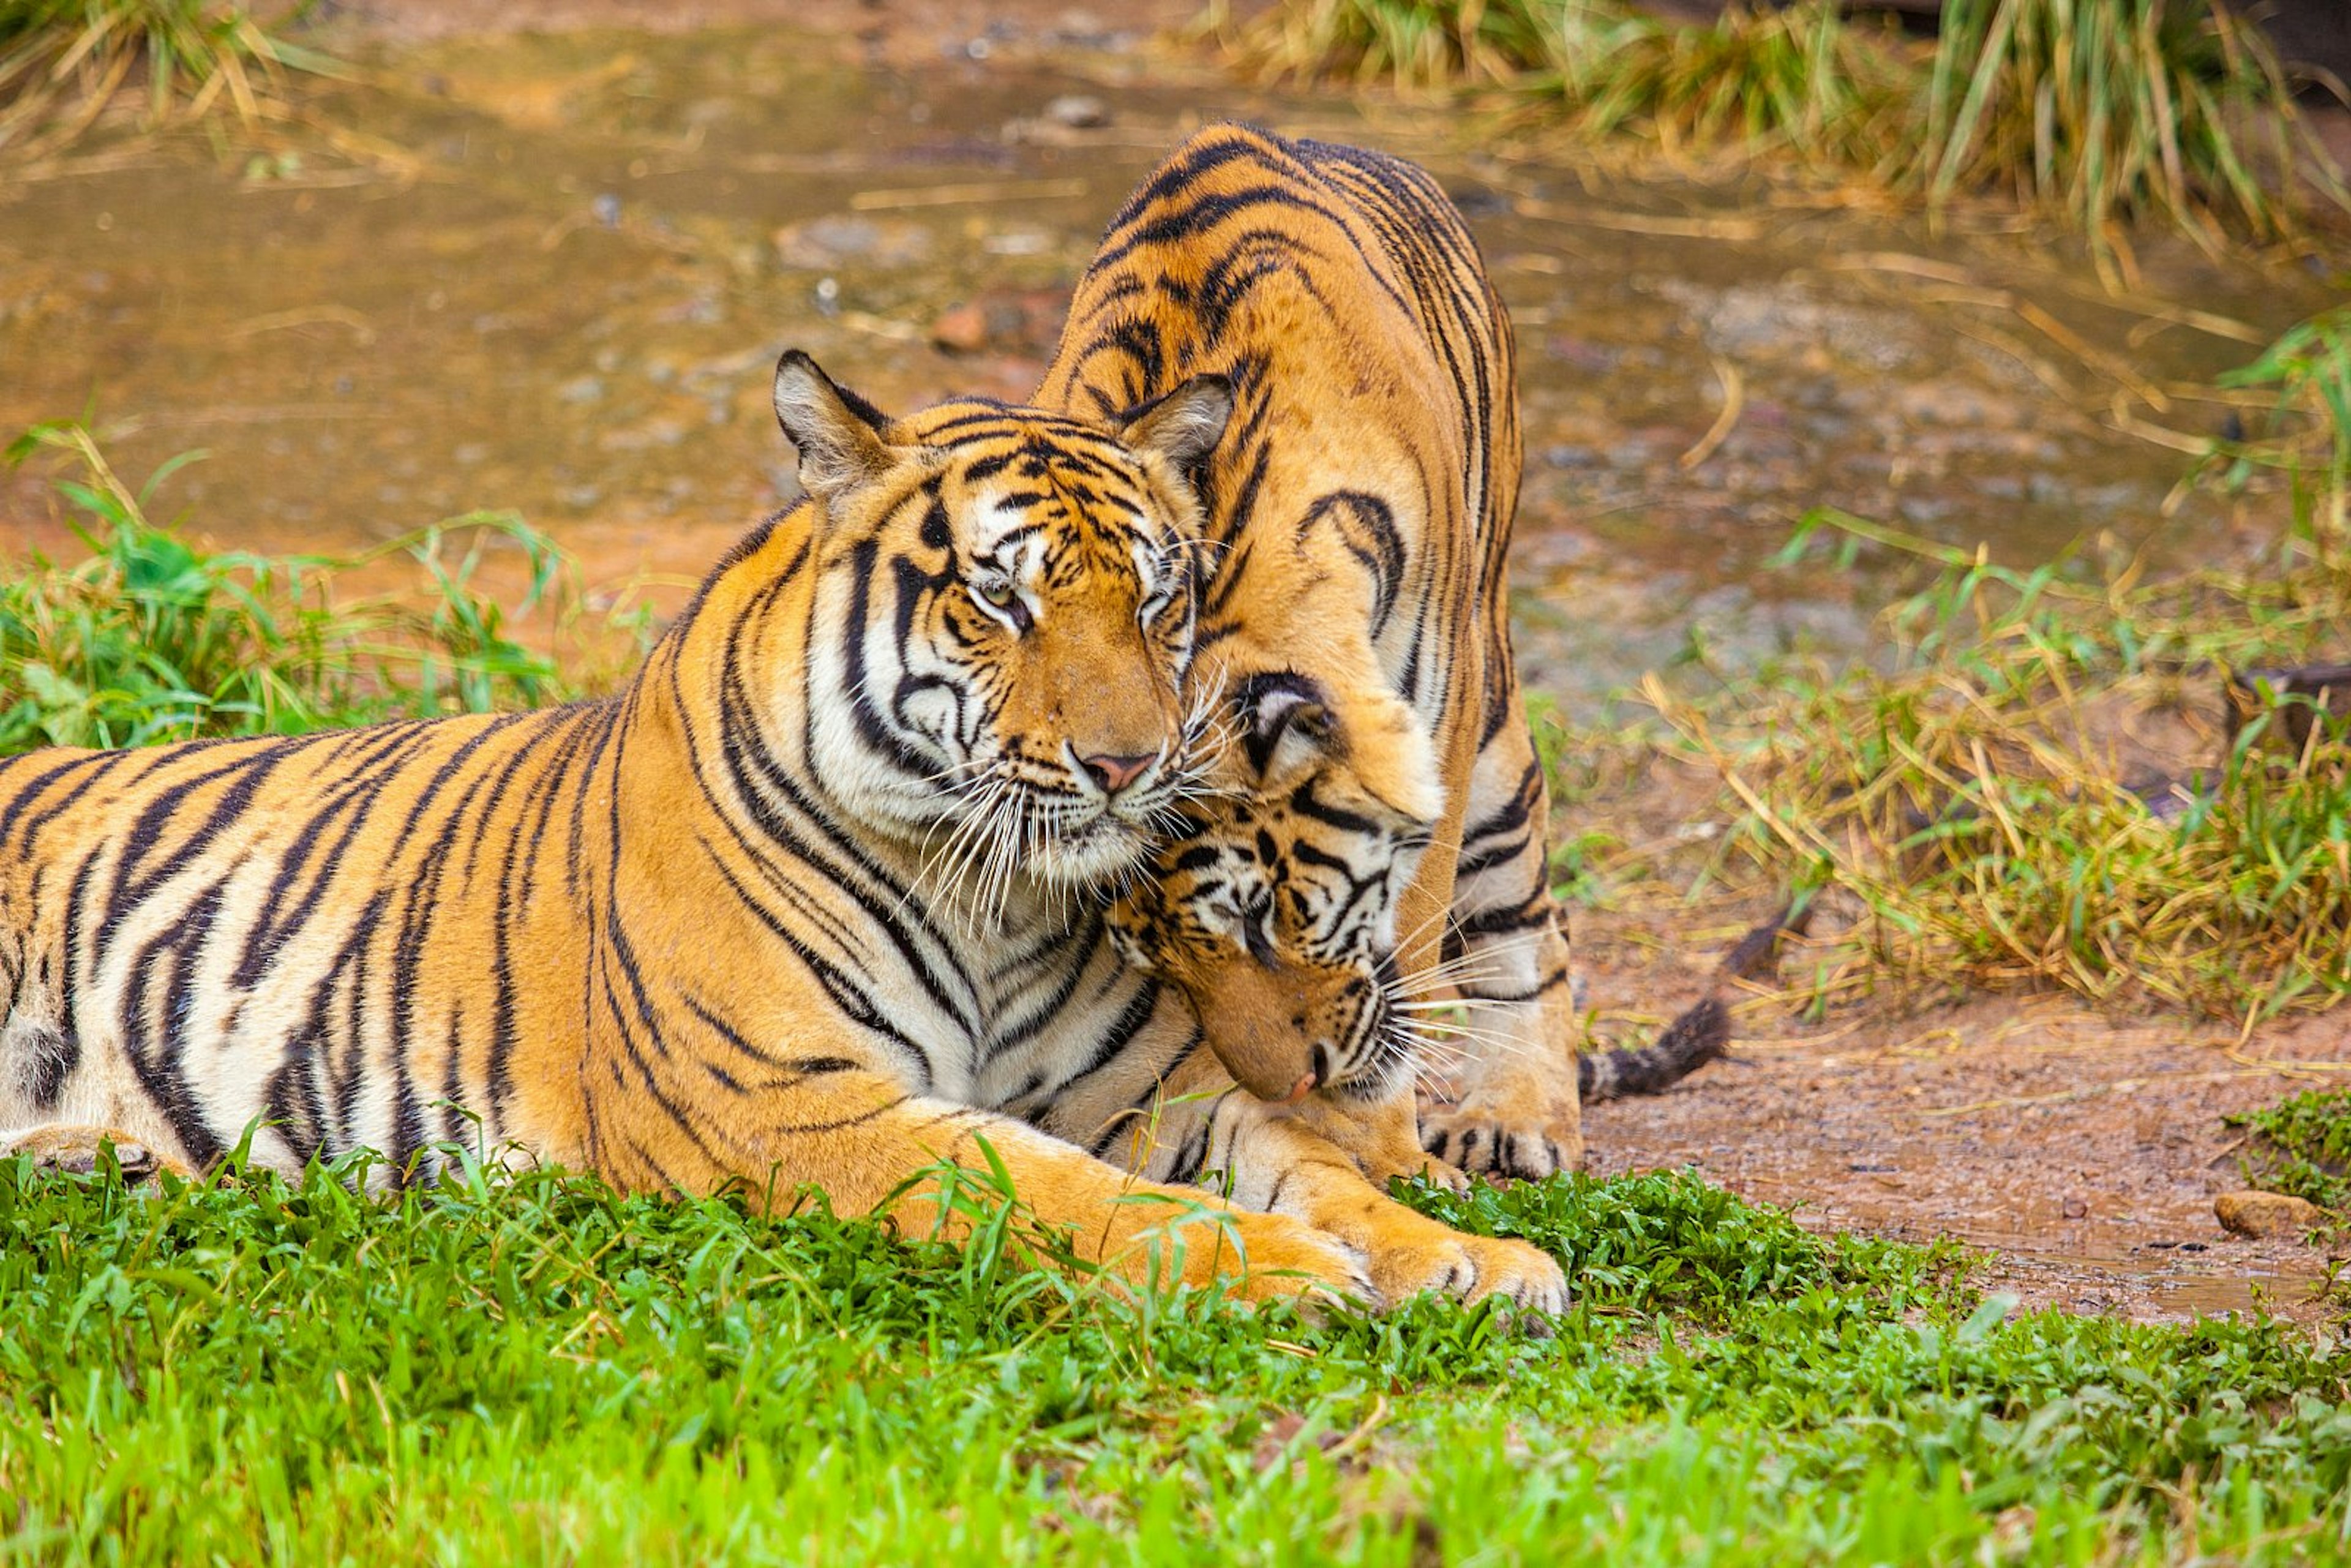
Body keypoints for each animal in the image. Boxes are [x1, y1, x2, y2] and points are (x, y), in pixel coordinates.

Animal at [1039, 129, 1646, 1185]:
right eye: (1153, 959)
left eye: (1259, 916)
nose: (1290, 1085)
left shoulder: (1438, 732)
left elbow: (1411, 955)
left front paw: (1388, 1155)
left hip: (1493, 724)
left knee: (1530, 914)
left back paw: (1516, 1120)